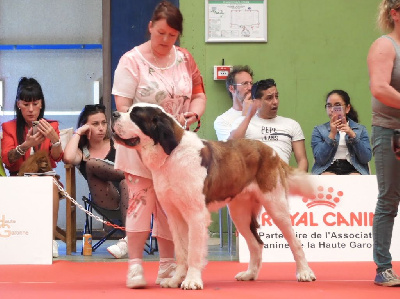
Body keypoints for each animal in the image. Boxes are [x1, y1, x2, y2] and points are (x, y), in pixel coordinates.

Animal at [111, 103, 316, 290]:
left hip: (276, 206)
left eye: (135, 115)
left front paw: (192, 281)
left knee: (295, 242)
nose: (113, 113)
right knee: (256, 244)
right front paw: (176, 279)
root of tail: (271, 151)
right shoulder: (174, 216)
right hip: (240, 214)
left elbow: (193, 251)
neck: (172, 154)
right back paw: (249, 274)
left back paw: (305, 273)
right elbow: (181, 251)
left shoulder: (196, 215)